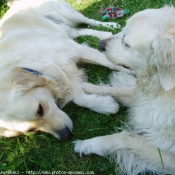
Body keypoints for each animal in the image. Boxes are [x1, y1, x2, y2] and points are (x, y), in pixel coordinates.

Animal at [0, 0, 125, 139]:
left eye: (40, 109)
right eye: (31, 130)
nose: (64, 134)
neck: (26, 63)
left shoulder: (74, 52)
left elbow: (111, 64)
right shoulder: (61, 71)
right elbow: (78, 96)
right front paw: (105, 105)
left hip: (68, 14)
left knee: (89, 21)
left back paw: (110, 27)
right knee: (78, 30)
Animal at [74, 6, 175, 174]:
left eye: (126, 44)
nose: (101, 44)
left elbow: (125, 136)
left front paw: (88, 144)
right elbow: (119, 90)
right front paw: (87, 88)